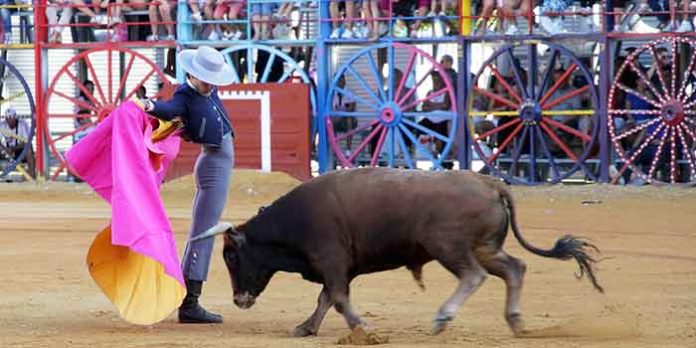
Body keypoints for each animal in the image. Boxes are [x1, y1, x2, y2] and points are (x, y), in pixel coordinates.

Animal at [197, 167, 604, 336]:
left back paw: (443, 318)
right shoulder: (337, 267)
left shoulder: (331, 260)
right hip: (485, 247)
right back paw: (516, 321)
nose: (239, 299)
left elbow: (337, 298)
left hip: (449, 247)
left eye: (231, 256)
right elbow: (326, 298)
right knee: (514, 269)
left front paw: (364, 328)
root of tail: (489, 182)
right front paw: (305, 328)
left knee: (474, 275)